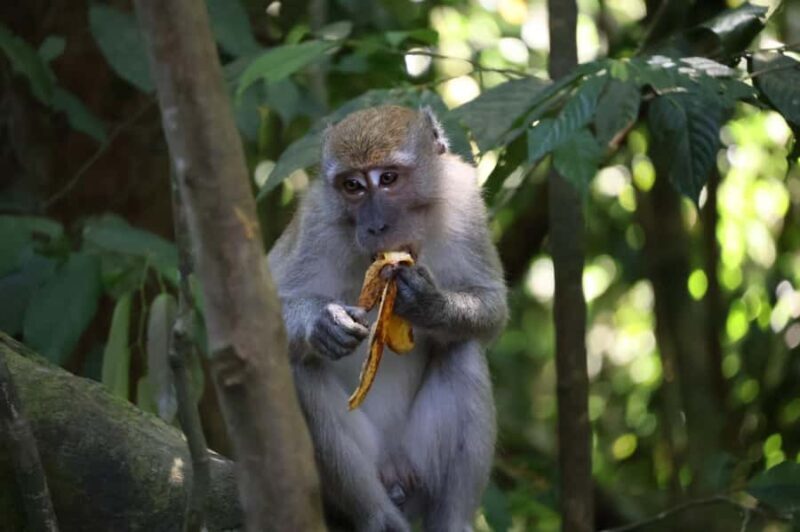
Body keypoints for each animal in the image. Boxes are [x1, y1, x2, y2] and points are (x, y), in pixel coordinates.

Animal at [267, 105, 508, 532]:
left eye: (389, 178)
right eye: (353, 186)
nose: (376, 225)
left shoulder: (465, 203)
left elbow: (492, 304)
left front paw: (427, 304)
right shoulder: (316, 223)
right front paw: (321, 322)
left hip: (419, 462)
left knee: (463, 352)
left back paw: (452, 520)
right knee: (302, 368)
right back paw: (377, 516)